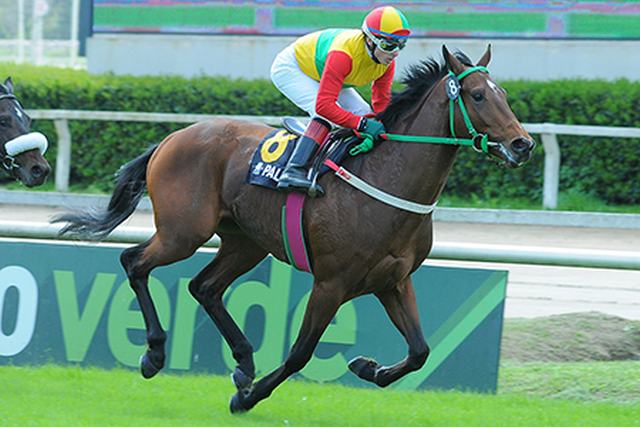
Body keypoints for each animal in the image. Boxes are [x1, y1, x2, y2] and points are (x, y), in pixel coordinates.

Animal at [53, 45, 536, 412]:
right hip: (182, 232)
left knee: (204, 287)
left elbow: (420, 351)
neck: (387, 178)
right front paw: (247, 398)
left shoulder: (393, 280)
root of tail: (171, 138)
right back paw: (155, 353)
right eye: (477, 95)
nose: (523, 144)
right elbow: (301, 352)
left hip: (246, 242)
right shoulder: (331, 283)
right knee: (134, 262)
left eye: (504, 93)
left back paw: (243, 361)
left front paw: (368, 367)